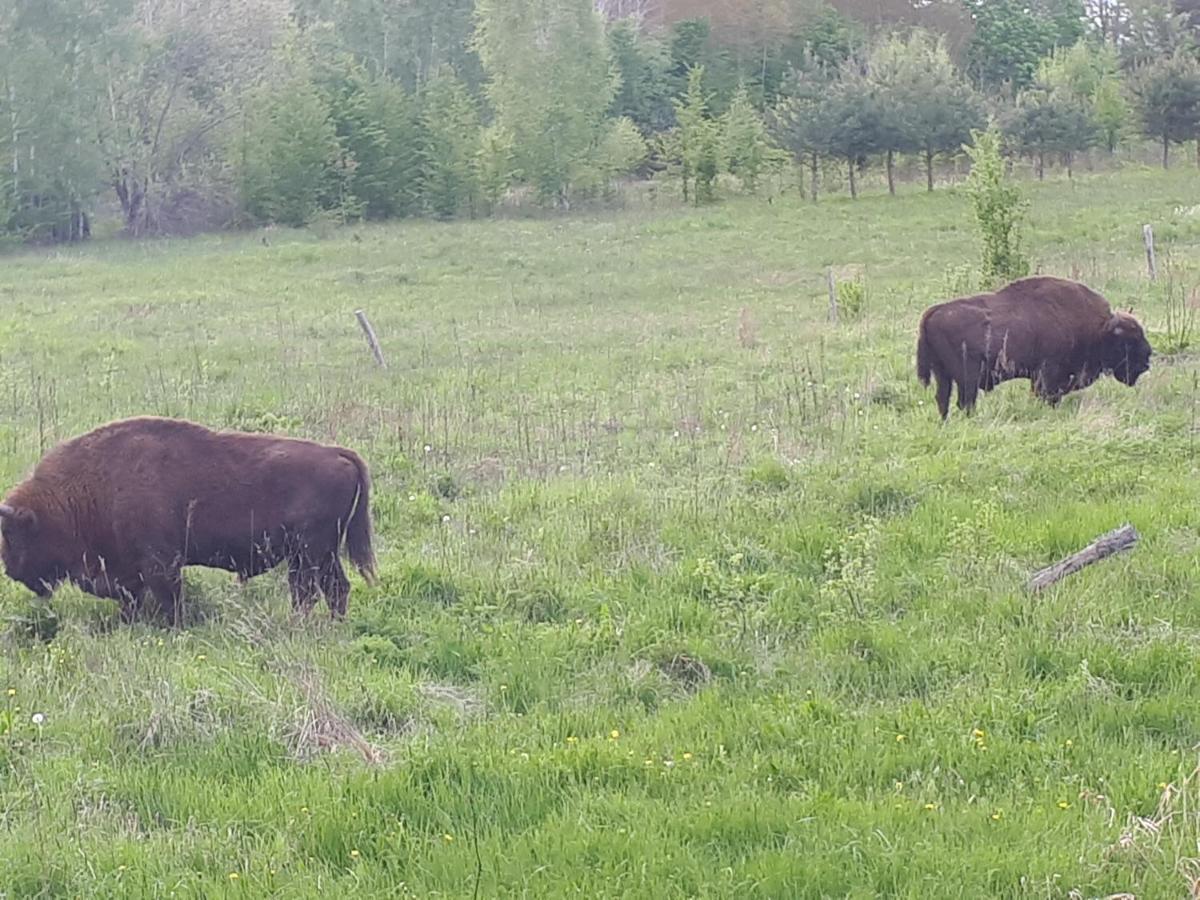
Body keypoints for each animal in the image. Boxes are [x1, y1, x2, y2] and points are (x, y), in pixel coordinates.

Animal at [0, 417, 374, 624]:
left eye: (14, 534)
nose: (11, 571)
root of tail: (338, 454)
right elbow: (133, 601)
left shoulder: (160, 564)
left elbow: (169, 599)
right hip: (314, 554)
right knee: (326, 589)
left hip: (313, 552)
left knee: (317, 591)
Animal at [916, 277, 1152, 422]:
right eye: (1129, 340)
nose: (1147, 361)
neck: (1099, 328)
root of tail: (932, 312)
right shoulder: (1047, 374)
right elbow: (1045, 395)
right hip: (967, 377)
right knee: (965, 402)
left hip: (943, 375)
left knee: (943, 399)